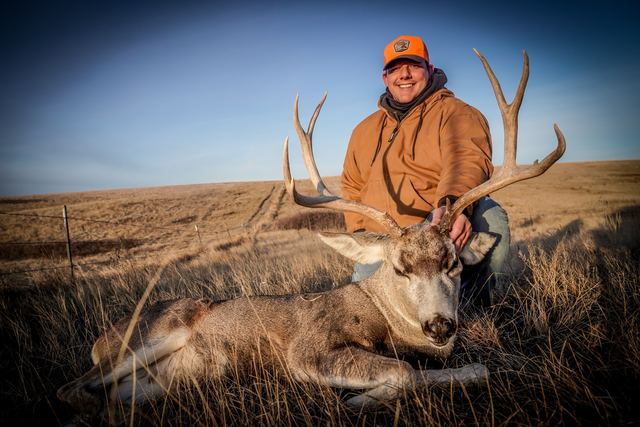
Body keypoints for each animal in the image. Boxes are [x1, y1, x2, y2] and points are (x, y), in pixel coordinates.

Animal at [57, 50, 565, 420]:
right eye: (399, 268)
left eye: (454, 263)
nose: (440, 325)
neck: (382, 316)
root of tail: (100, 339)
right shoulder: (308, 349)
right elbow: (402, 372)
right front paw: (358, 399)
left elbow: (473, 368)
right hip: (146, 335)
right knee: (72, 388)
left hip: (149, 383)